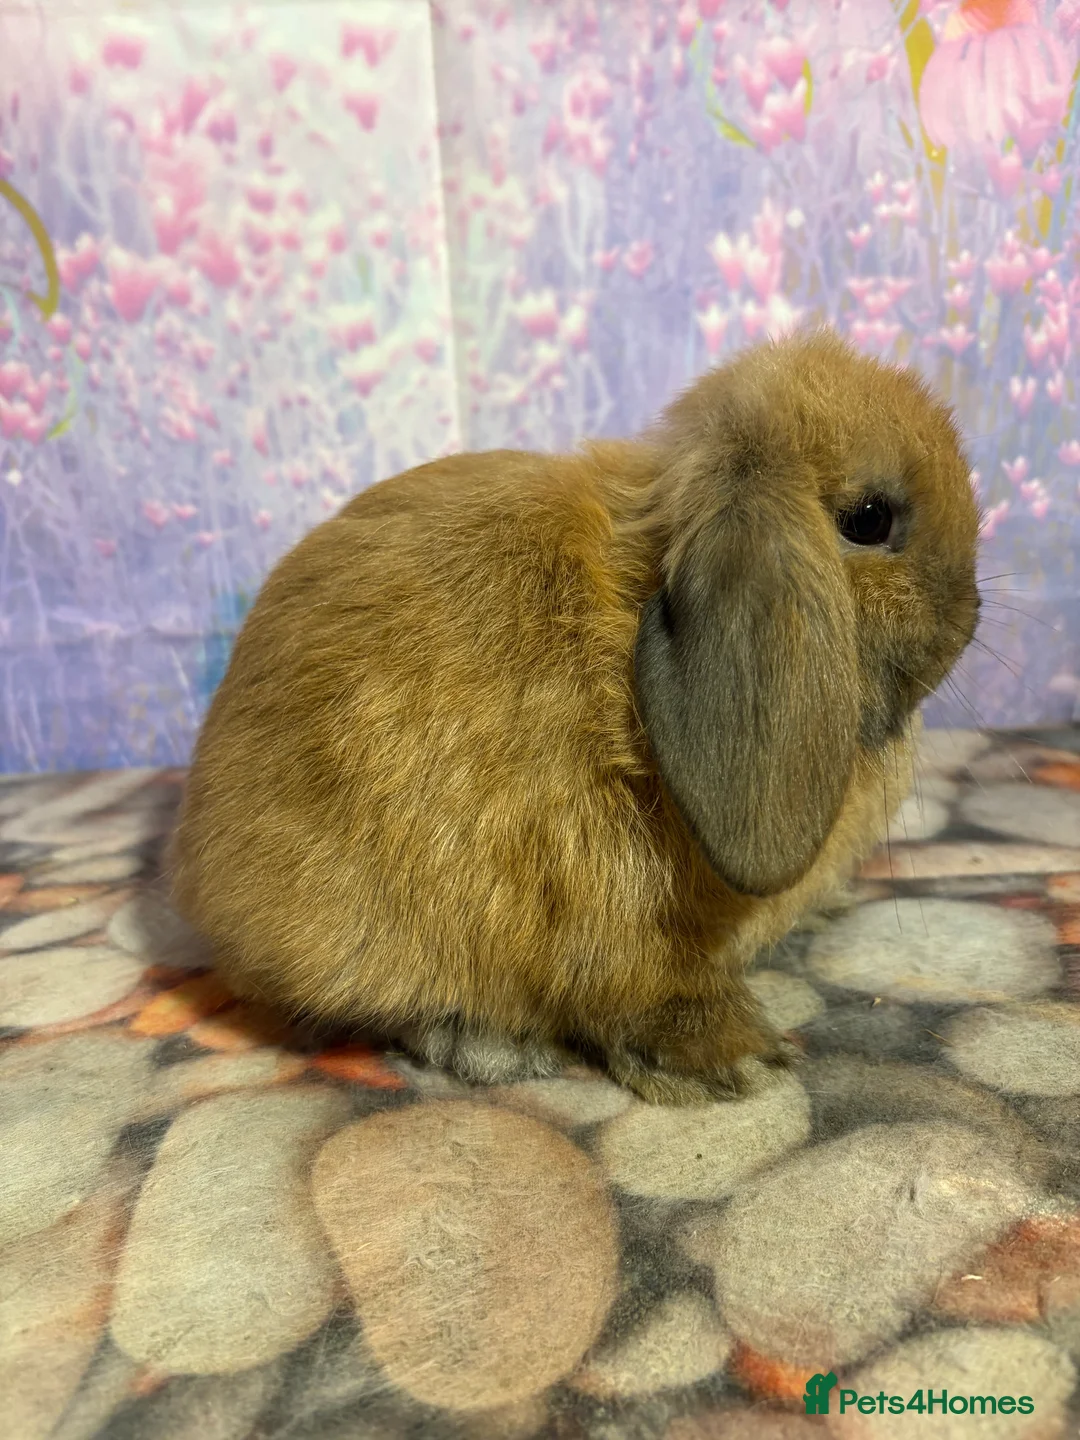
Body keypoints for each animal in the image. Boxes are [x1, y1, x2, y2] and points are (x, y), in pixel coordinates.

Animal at [168, 330, 981, 1105]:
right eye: (869, 519)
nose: (969, 616)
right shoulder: (608, 894)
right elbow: (646, 987)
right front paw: (735, 1063)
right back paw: (489, 1046)